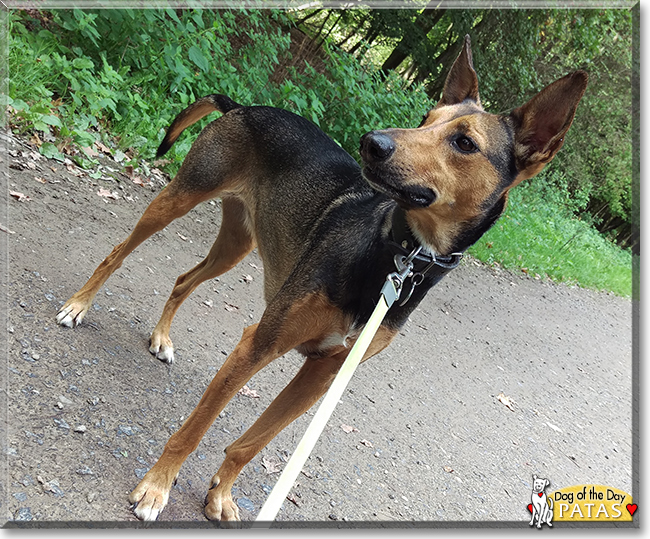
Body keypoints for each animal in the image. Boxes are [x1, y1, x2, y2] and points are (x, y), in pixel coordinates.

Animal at [55, 34, 584, 524]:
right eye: (426, 117)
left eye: (465, 142)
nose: (373, 142)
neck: (398, 257)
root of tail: (244, 106)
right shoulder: (259, 344)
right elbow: (193, 431)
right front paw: (156, 488)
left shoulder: (322, 374)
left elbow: (250, 444)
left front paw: (221, 494)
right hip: (180, 197)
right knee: (116, 256)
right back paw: (78, 306)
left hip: (236, 243)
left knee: (186, 279)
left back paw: (161, 337)